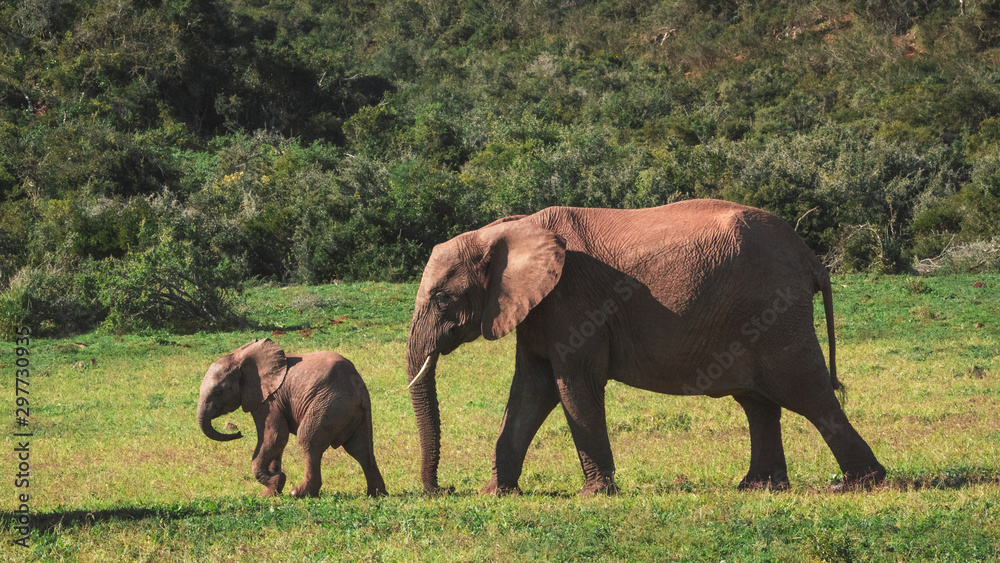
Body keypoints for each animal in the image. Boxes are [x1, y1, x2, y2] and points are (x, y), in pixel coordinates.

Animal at [195, 340, 386, 498]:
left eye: (218, 392)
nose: (239, 433)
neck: (240, 356)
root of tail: (358, 387)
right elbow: (276, 443)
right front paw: (270, 492)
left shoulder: (268, 400)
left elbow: (274, 436)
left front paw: (274, 484)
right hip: (353, 411)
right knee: (360, 448)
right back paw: (376, 495)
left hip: (330, 405)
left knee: (309, 441)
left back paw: (299, 493)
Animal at [404, 199, 884, 498]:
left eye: (443, 299)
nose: (443, 488)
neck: (508, 229)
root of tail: (811, 259)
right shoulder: (539, 310)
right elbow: (530, 391)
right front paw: (496, 493)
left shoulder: (574, 301)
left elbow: (573, 384)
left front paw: (595, 495)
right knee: (758, 402)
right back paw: (758, 487)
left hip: (776, 310)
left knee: (808, 392)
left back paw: (860, 484)